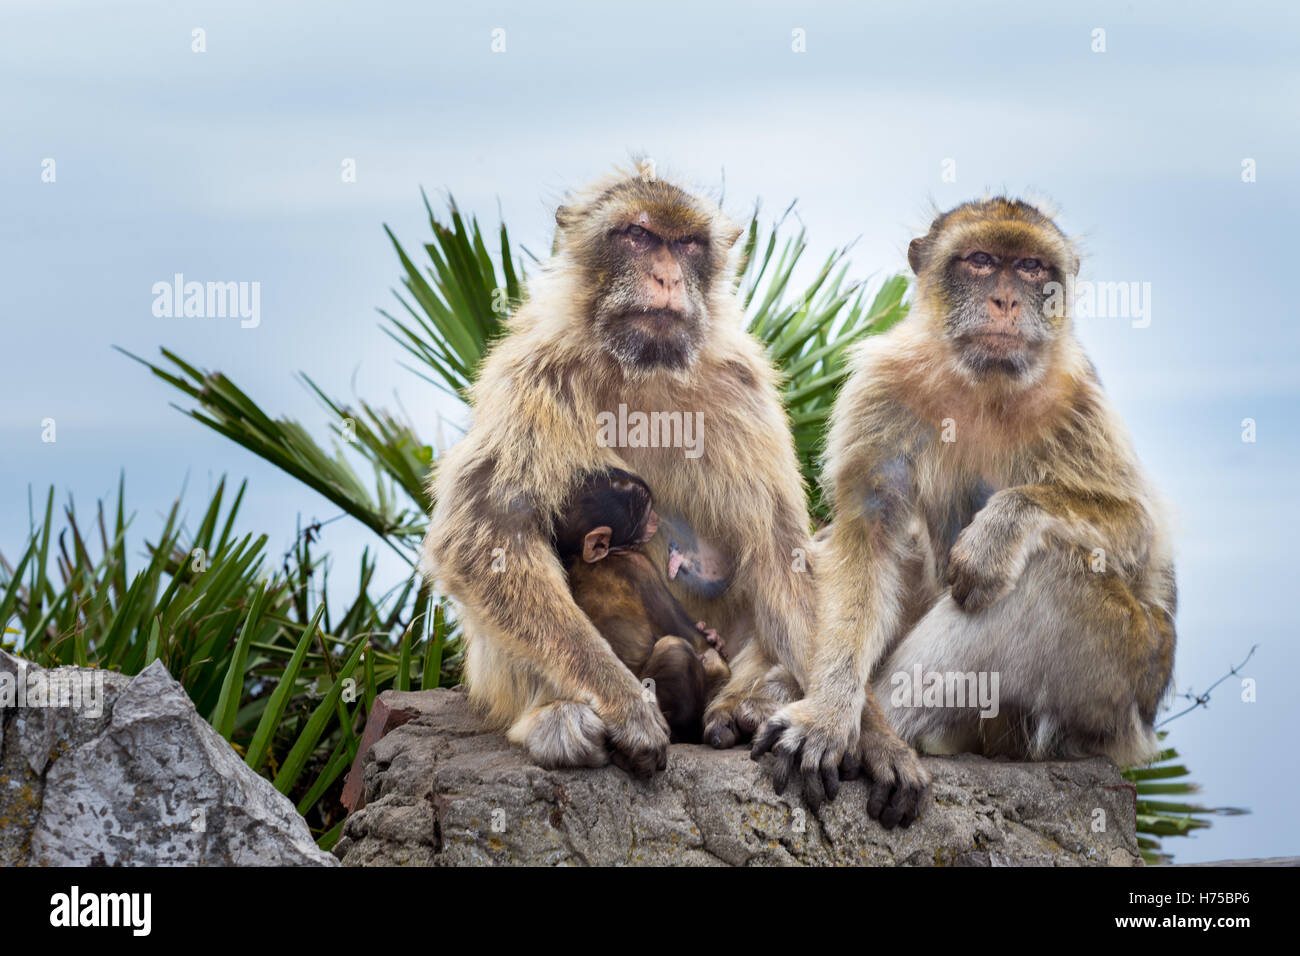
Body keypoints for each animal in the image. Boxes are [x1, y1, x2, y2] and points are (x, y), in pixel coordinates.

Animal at [551, 466, 730, 743]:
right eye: (645, 512)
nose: (655, 516)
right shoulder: (640, 566)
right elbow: (696, 642)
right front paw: (712, 640)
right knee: (676, 650)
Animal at [754, 197, 1175, 827]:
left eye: (1030, 267)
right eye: (979, 260)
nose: (1006, 300)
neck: (983, 383)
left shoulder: (1080, 397)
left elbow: (1138, 529)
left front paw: (997, 531)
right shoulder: (884, 387)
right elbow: (868, 534)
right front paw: (829, 714)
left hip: (1121, 684)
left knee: (1045, 577)